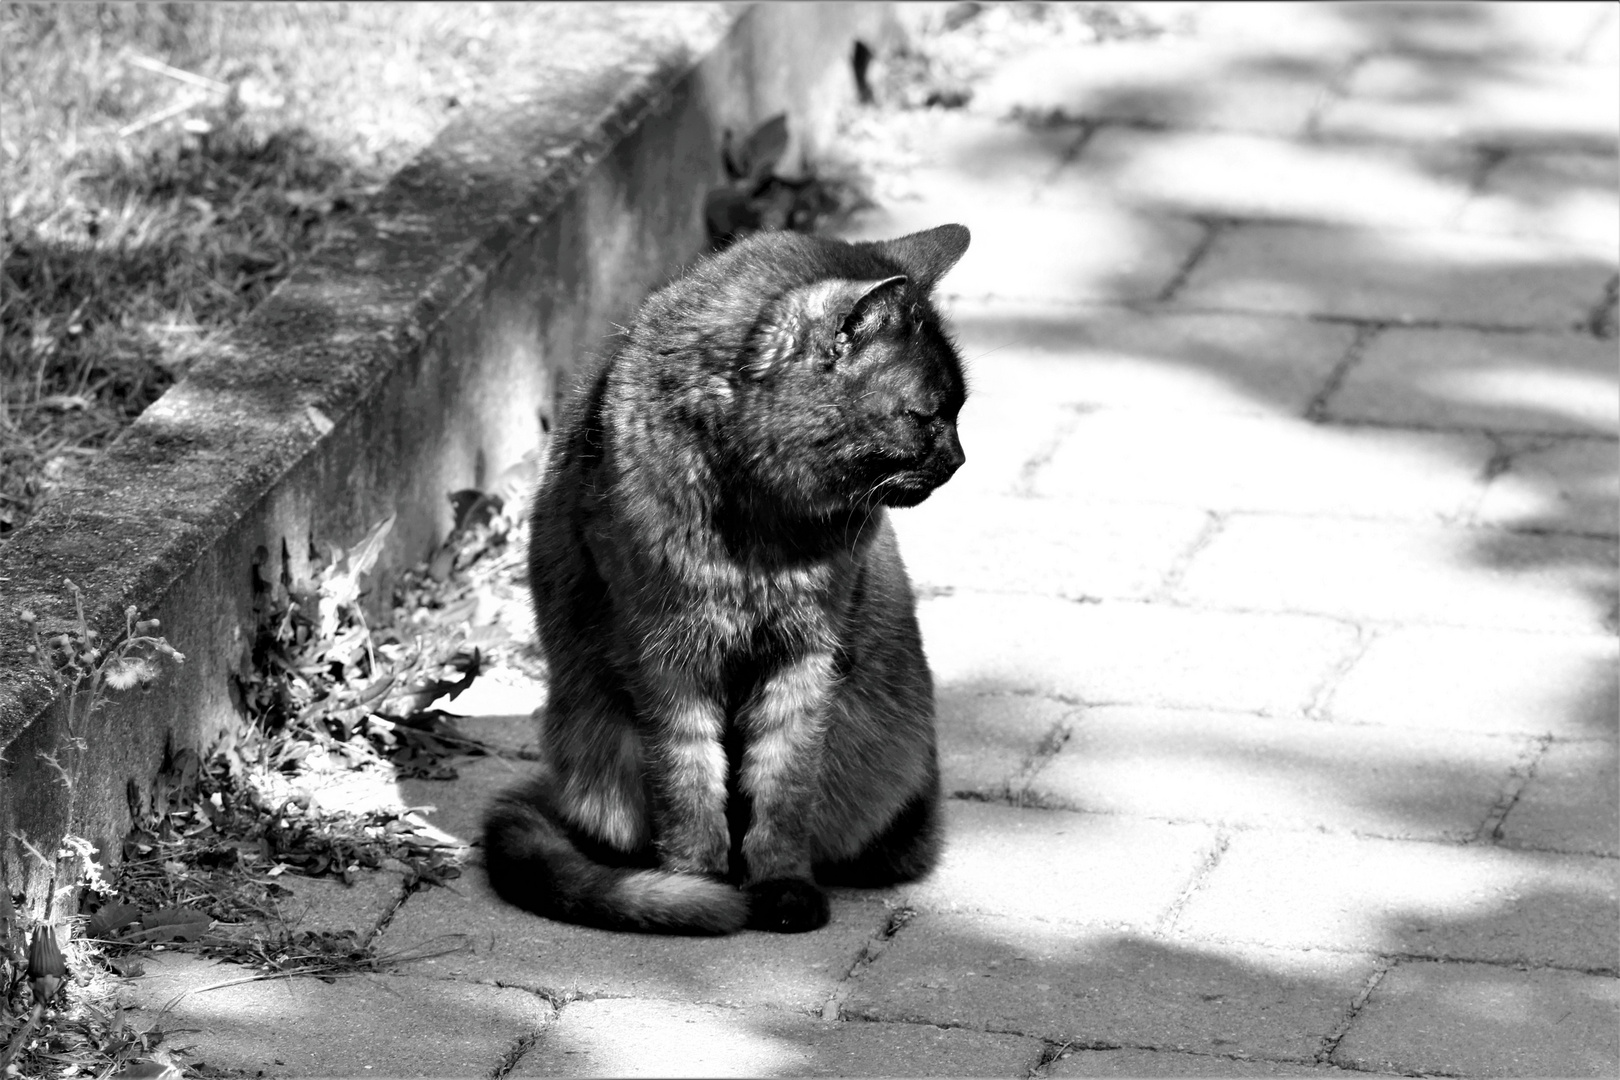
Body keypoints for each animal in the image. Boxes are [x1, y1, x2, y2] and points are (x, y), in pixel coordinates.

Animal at [473, 223, 965, 932]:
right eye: (926, 415)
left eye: (959, 410)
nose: (959, 458)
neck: (760, 530)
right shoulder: (664, 656)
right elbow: (687, 780)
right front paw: (694, 884)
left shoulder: (805, 656)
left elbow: (784, 783)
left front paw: (782, 889)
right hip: (595, 743)